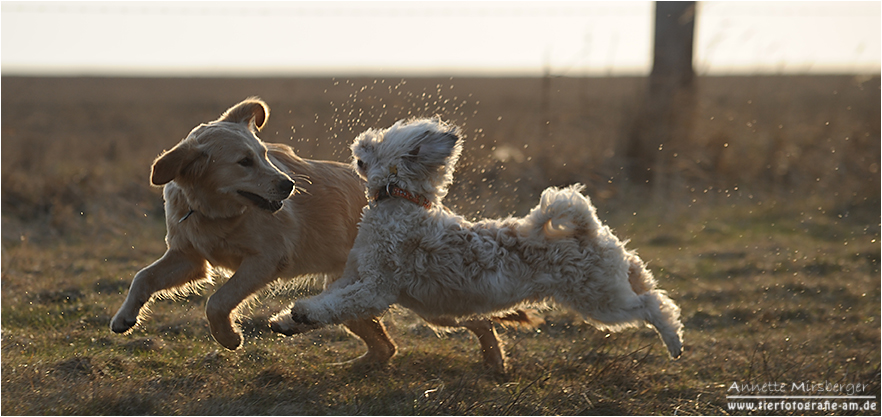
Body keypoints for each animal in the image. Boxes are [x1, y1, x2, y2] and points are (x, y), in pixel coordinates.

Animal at [272, 116, 684, 364]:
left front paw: (304, 313)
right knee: (647, 284)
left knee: (654, 306)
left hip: (600, 301)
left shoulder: (377, 286)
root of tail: (587, 229)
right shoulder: (353, 274)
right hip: (611, 284)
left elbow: (340, 304)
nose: (360, 142)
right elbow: (332, 299)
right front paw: (287, 320)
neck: (403, 200)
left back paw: (674, 343)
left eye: (379, 142)